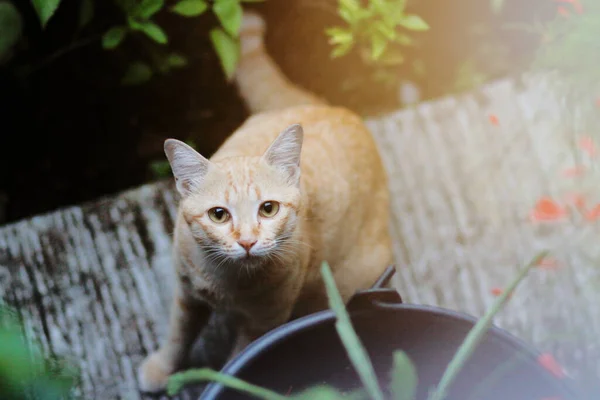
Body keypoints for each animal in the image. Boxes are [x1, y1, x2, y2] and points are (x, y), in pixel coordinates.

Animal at [140, 10, 394, 392]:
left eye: (268, 209)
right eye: (219, 215)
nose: (247, 241)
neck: (226, 281)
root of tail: (338, 109)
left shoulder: (262, 324)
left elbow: (233, 364)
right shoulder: (186, 296)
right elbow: (177, 337)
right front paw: (162, 368)